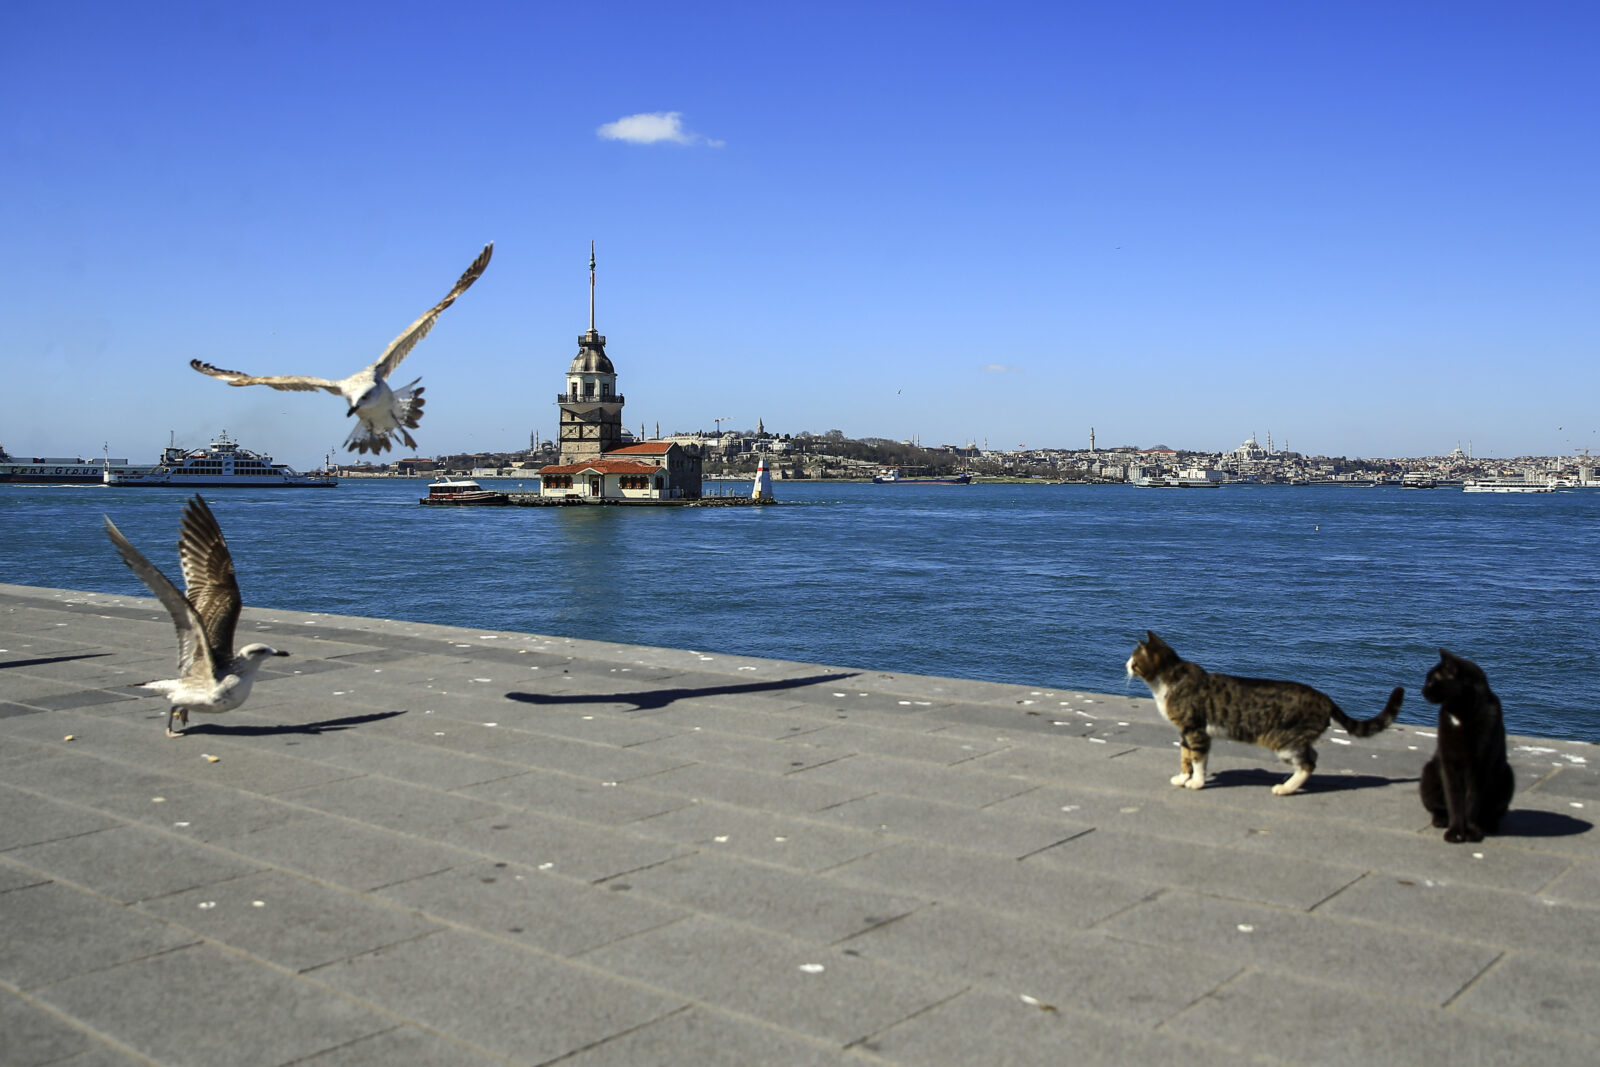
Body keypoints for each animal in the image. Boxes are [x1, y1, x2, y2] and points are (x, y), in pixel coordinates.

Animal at [1126, 633, 1401, 793]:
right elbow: (1185, 757)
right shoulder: (1185, 732)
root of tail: (1324, 697)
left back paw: (1285, 788)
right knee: (1312, 755)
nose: (1125, 665)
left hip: (1282, 739)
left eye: (1134, 660)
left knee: (1309, 762)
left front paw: (1196, 782)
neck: (1167, 681)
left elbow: (1198, 759)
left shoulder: (1196, 730)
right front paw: (1183, 778)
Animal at [1427, 652, 1510, 844]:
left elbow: (1472, 800)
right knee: (1438, 807)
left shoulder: (1479, 765)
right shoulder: (1448, 762)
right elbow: (1454, 800)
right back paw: (1440, 820)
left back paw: (1489, 825)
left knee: (1490, 812)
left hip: (1506, 776)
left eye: (1432, 681)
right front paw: (1455, 831)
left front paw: (1470, 831)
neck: (1460, 712)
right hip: (1430, 772)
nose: (1422, 690)